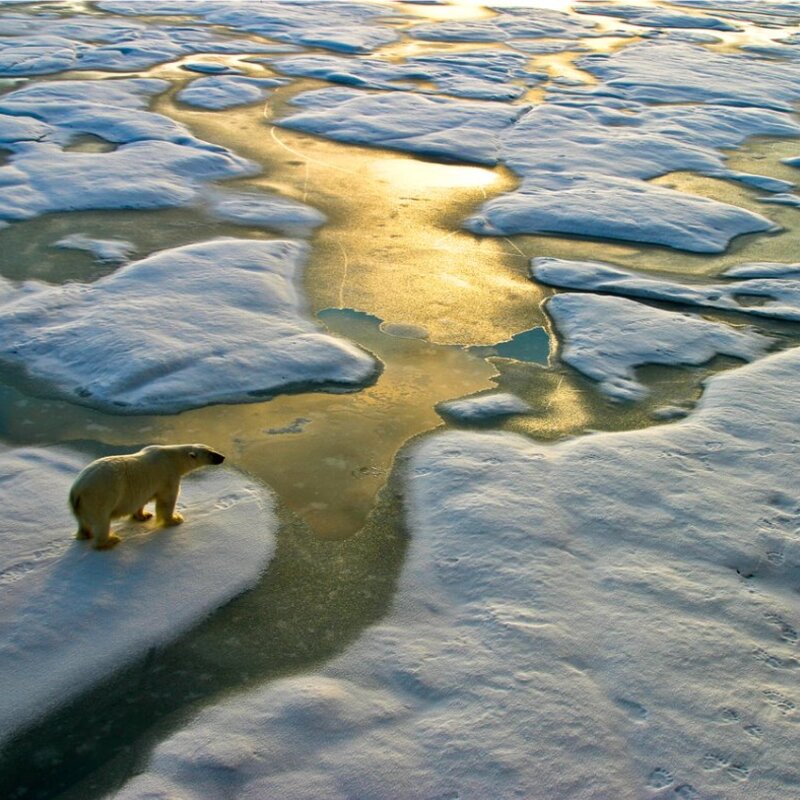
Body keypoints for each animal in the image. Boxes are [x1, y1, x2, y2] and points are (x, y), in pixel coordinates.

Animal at [69, 444, 225, 550]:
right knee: (101, 521)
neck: (172, 458)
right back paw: (110, 540)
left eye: (212, 448)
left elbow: (141, 501)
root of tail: (76, 490)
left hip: (81, 506)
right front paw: (175, 519)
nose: (222, 457)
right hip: (99, 497)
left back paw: (85, 535)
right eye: (211, 453)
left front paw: (144, 516)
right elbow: (167, 501)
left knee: (83, 523)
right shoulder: (168, 476)